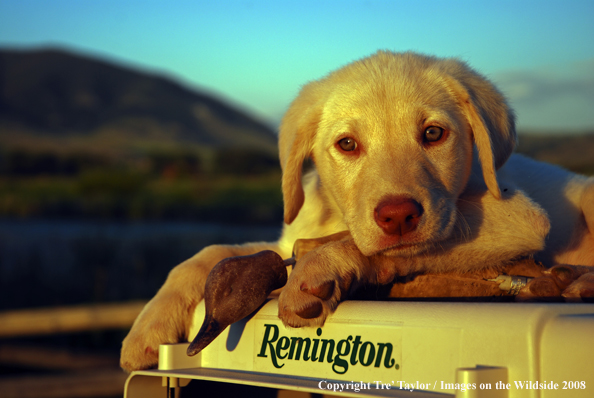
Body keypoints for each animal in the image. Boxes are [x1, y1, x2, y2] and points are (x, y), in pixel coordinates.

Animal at [119, 50, 592, 374]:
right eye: (347, 144)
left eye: (433, 134)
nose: (398, 216)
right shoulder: (285, 242)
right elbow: (209, 254)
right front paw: (149, 327)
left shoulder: (519, 217)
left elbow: (371, 247)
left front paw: (316, 270)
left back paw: (574, 282)